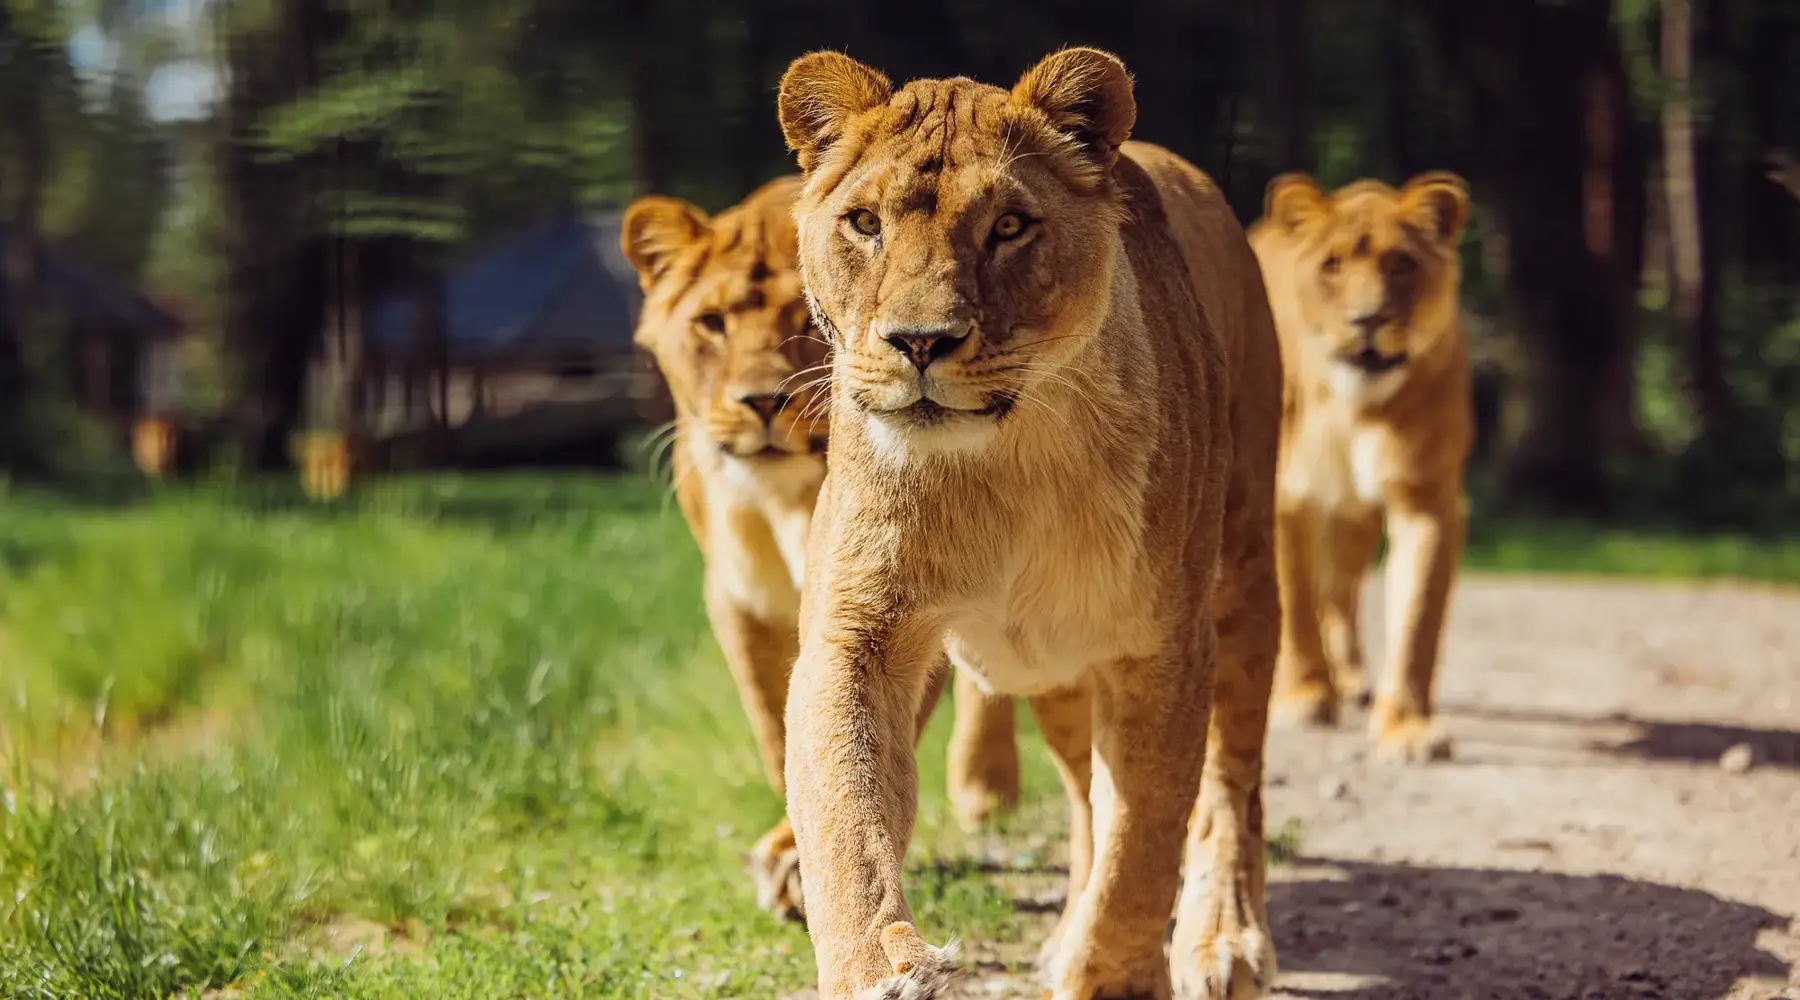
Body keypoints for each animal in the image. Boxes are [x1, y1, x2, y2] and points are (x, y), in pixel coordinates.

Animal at [621, 177, 1021, 922]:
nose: (760, 401)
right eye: (712, 323)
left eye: (806, 319)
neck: (783, 501)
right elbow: (779, 728)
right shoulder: (737, 598)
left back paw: (987, 786)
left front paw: (798, 868)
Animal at [775, 48, 1283, 999]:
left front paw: (1115, 975)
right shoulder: (858, 629)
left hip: (1240, 575)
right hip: (1051, 666)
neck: (1002, 465)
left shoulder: (1161, 645)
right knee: (1085, 793)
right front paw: (880, 969)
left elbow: (1147, 833)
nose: (920, 341)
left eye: (1009, 226)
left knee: (1229, 785)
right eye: (863, 223)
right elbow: (846, 821)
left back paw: (1222, 937)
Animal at [1249, 171, 1474, 763]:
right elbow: (1295, 606)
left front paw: (1408, 728)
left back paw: (1350, 676)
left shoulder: (1426, 497)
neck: (1354, 408)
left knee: (1342, 589)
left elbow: (1417, 616)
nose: (1368, 319)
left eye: (1402, 264)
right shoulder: (1283, 498)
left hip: (1354, 518)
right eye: (1332, 265)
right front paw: (1304, 698)